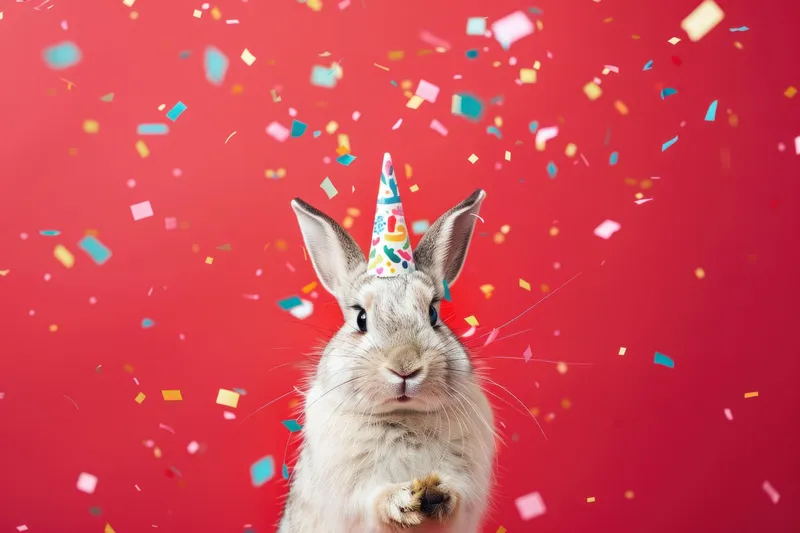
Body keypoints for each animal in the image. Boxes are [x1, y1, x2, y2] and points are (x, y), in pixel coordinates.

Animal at [278, 187, 495, 533]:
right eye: (361, 319)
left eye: (433, 314)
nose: (405, 366)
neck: (403, 414)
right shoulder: (353, 494)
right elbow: (373, 501)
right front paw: (402, 499)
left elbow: (457, 500)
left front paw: (440, 492)